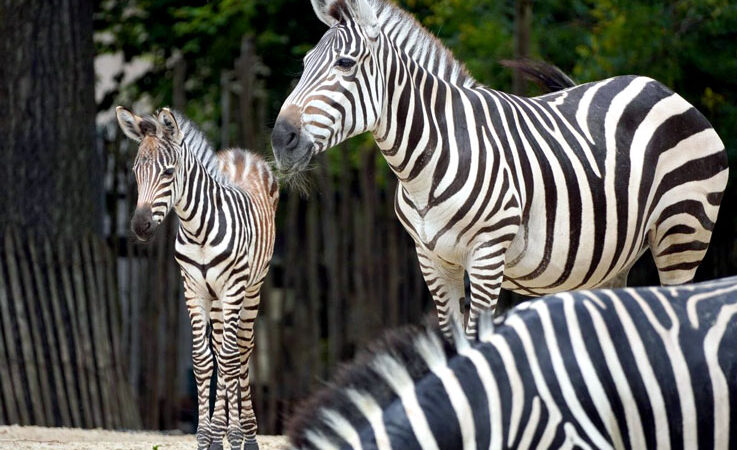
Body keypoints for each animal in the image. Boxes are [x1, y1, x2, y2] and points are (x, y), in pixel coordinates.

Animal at [116, 106, 278, 450]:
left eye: (168, 172)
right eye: (136, 171)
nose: (139, 226)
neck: (198, 229)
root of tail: (242, 154)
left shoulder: (233, 288)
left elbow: (230, 358)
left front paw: (230, 434)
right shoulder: (193, 289)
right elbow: (204, 359)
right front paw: (206, 436)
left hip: (252, 289)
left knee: (241, 350)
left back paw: (247, 435)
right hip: (215, 299)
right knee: (221, 347)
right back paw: (223, 433)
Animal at [268, 0, 724, 338]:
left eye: (345, 64)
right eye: (305, 63)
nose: (280, 138)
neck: (426, 162)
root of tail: (660, 86)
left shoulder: (487, 256)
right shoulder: (431, 260)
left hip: (683, 233)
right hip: (615, 258)